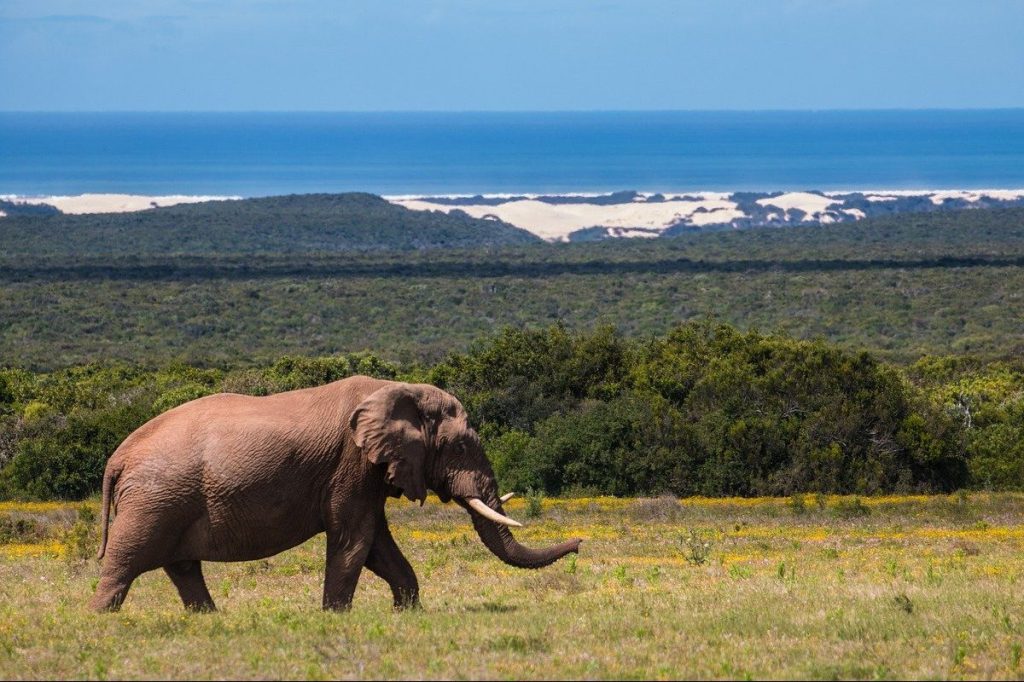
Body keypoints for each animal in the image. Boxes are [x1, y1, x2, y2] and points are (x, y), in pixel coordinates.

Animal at [90, 372, 577, 610]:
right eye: (459, 446)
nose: (578, 546)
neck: (395, 390)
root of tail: (118, 456)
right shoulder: (352, 464)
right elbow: (354, 539)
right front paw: (336, 618)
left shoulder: (368, 473)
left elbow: (378, 545)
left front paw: (407, 613)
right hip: (155, 499)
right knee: (124, 564)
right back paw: (100, 622)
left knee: (182, 568)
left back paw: (210, 621)